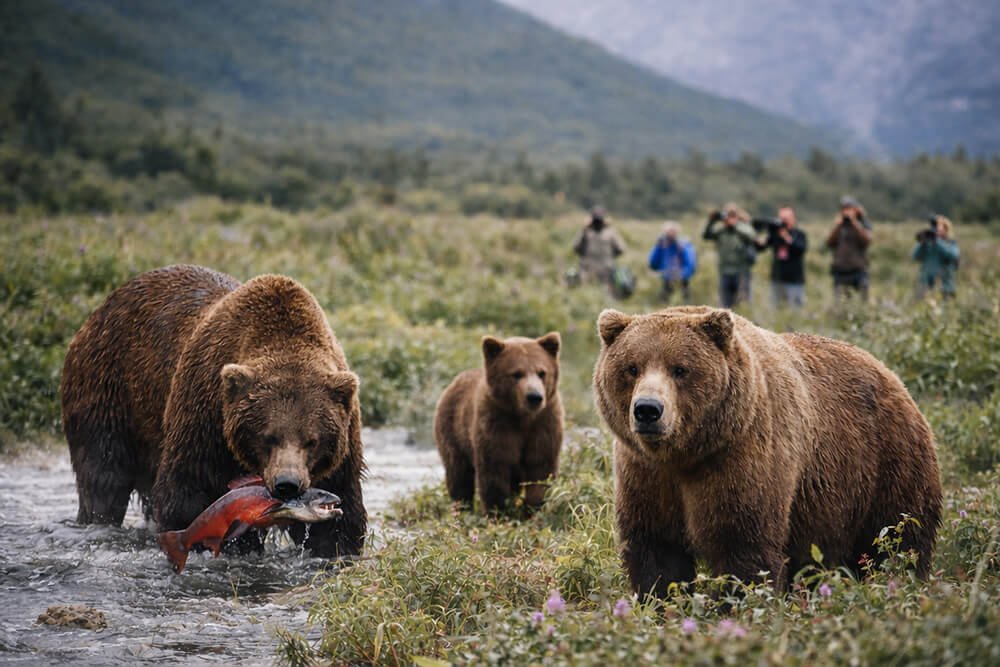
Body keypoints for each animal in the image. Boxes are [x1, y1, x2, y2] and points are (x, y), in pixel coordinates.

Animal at [60, 264, 366, 559]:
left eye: (311, 440)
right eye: (268, 436)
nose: (287, 483)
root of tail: (103, 306)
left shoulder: (342, 446)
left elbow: (341, 515)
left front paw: (334, 550)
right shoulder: (206, 418)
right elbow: (189, 495)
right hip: (108, 390)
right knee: (103, 476)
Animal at [434, 333, 563, 513]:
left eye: (542, 372)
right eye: (516, 373)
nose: (534, 397)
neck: (522, 417)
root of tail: (453, 382)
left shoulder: (545, 424)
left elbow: (541, 469)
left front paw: (533, 508)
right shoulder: (495, 424)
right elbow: (494, 473)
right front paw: (498, 511)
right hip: (453, 430)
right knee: (459, 475)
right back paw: (462, 508)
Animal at [592, 306, 942, 597]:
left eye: (680, 369)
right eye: (632, 367)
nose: (648, 410)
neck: (686, 455)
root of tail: (893, 376)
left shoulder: (743, 459)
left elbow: (744, 545)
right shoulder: (645, 475)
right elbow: (656, 551)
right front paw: (661, 602)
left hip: (887, 466)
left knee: (899, 540)